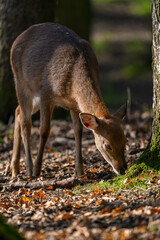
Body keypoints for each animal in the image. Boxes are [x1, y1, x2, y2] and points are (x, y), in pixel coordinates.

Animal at [10, 22, 127, 177]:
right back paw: (28, 169)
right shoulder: (46, 93)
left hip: (33, 93)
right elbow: (44, 131)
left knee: (18, 112)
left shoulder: (74, 105)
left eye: (125, 140)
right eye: (107, 145)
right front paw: (37, 169)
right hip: (21, 81)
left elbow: (78, 131)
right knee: (26, 122)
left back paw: (15, 168)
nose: (123, 169)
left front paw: (80, 170)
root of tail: (16, 40)